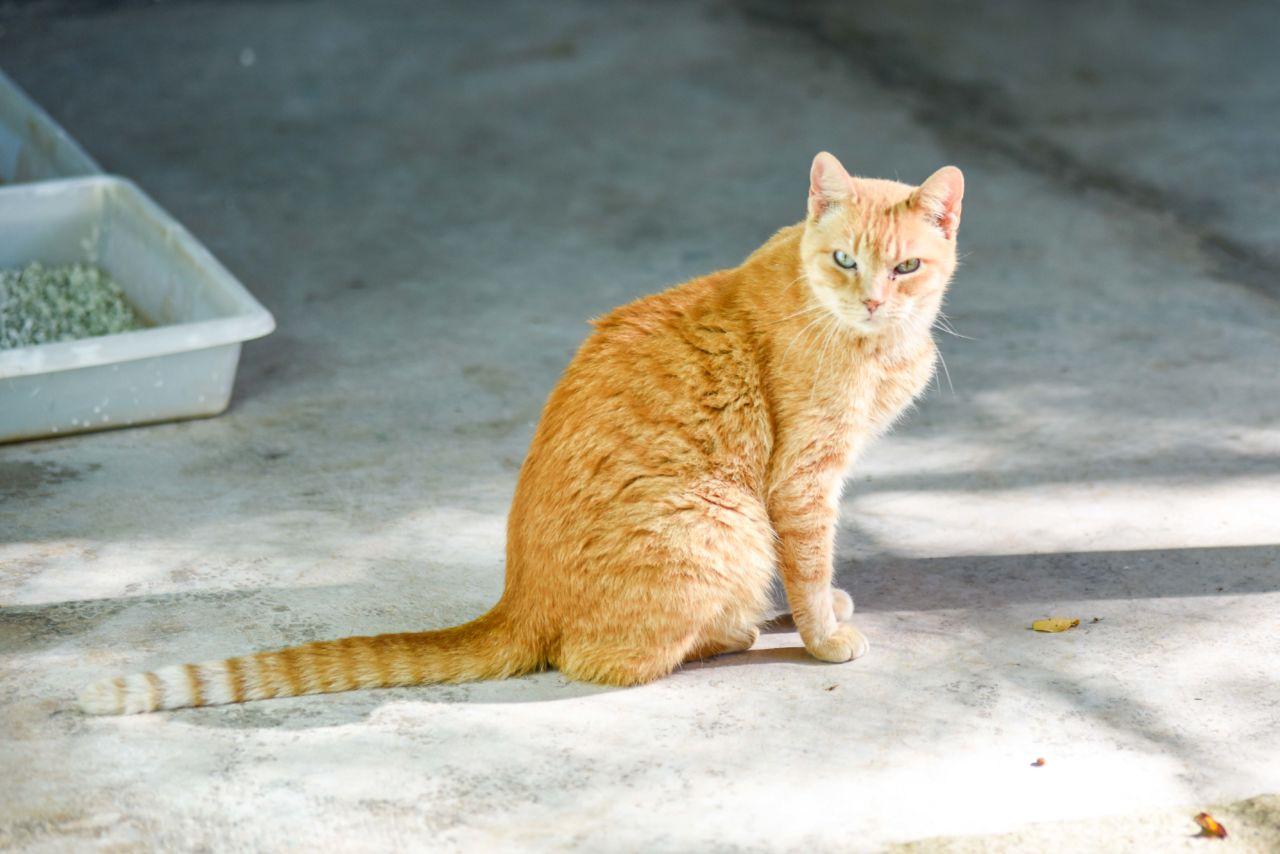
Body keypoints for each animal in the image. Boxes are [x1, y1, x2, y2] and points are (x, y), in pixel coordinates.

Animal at [80, 153, 962, 717]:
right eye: (845, 261)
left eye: (905, 268)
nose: (873, 300)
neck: (874, 343)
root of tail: (516, 598)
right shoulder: (803, 481)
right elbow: (808, 566)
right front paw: (823, 637)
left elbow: (812, 567)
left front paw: (822, 618)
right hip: (723, 522)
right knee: (609, 657)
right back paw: (742, 628)